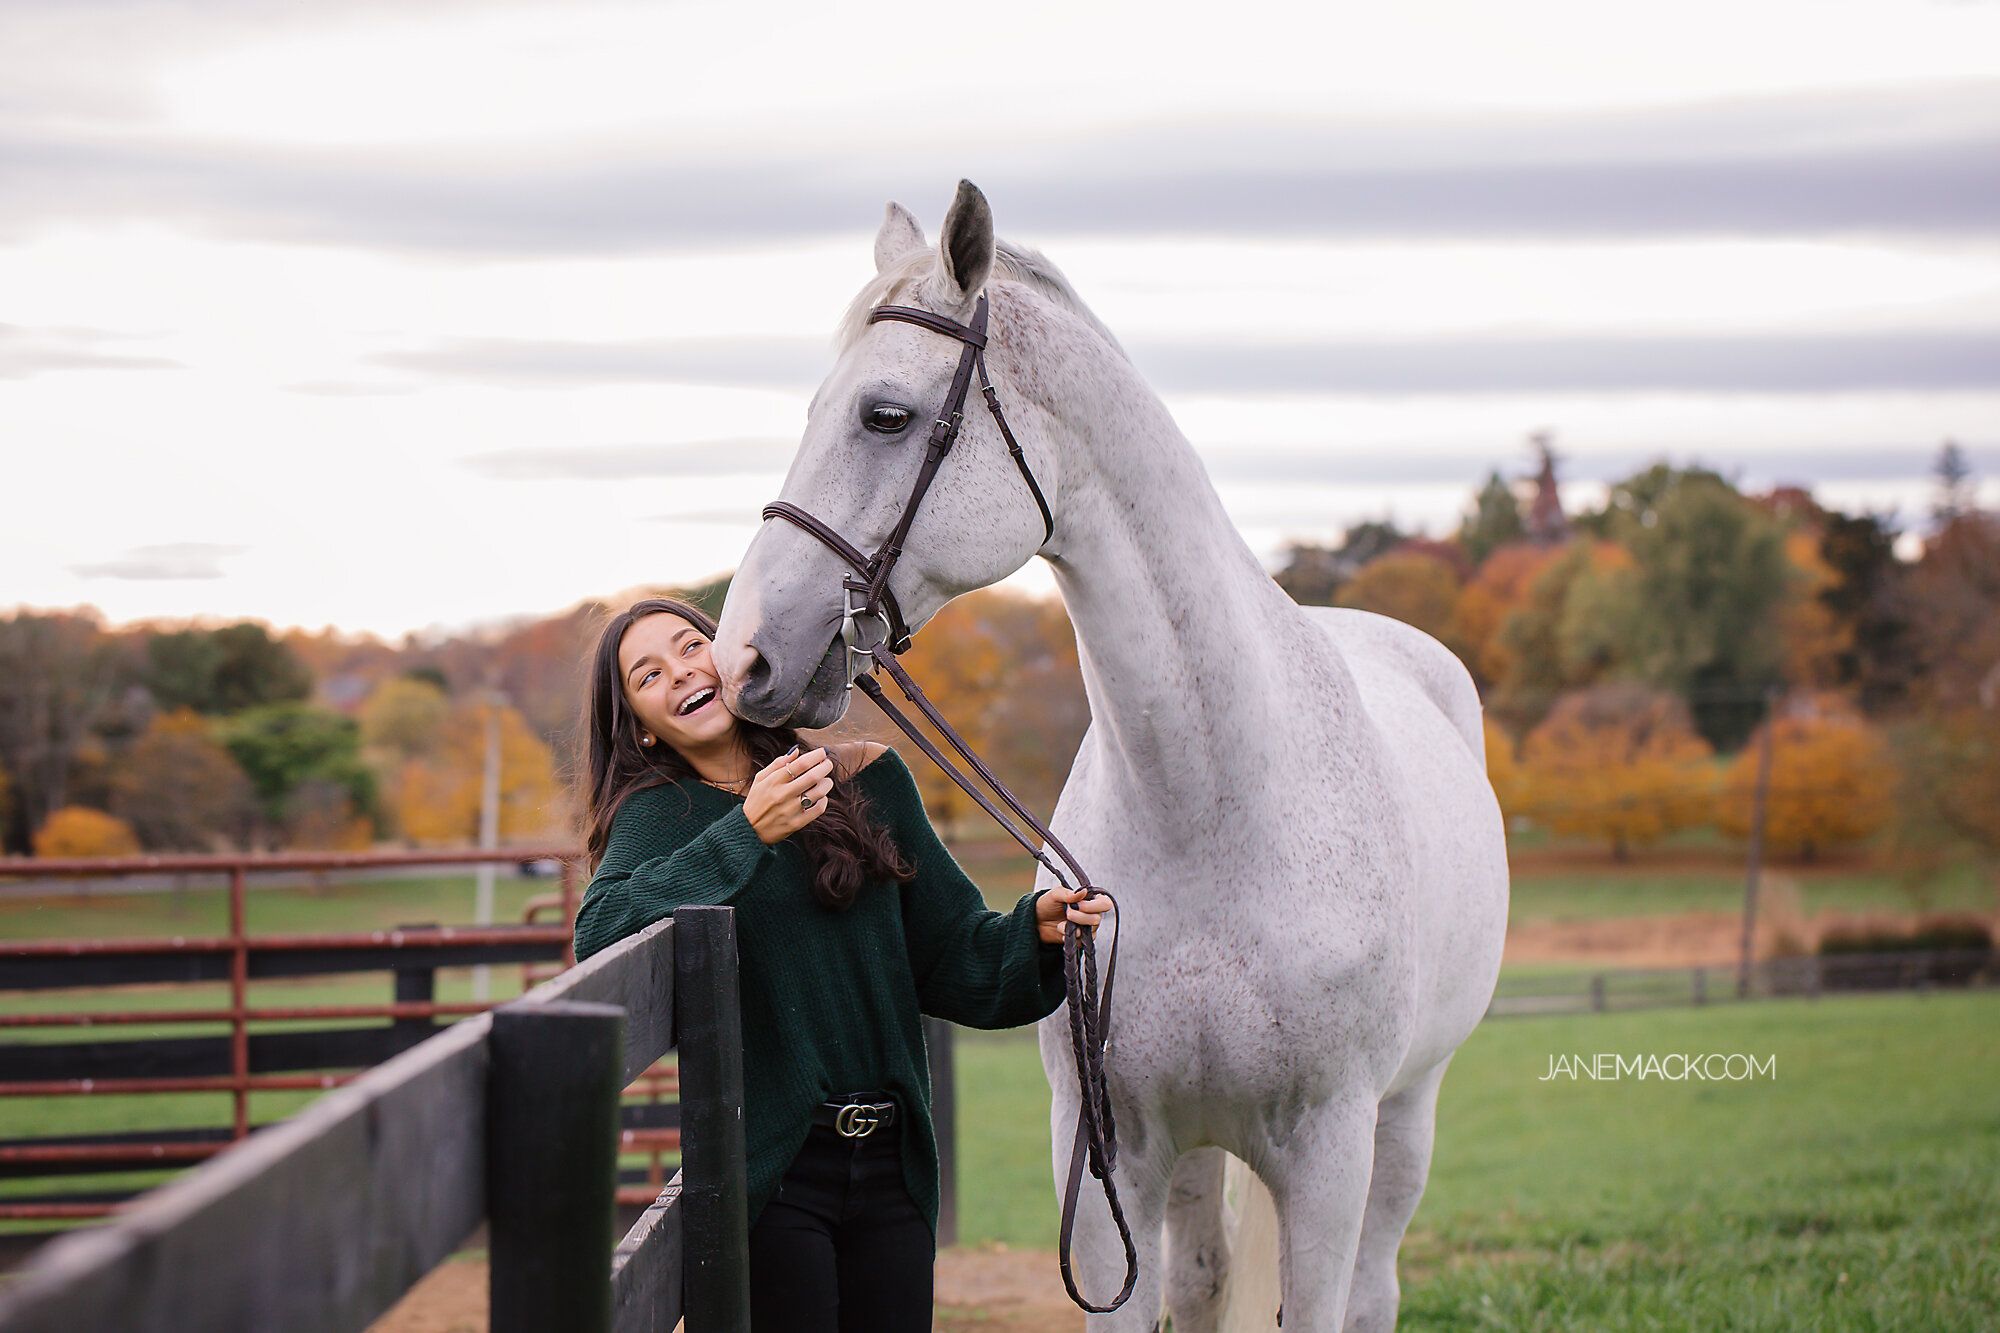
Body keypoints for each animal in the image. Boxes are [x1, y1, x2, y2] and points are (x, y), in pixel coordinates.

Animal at [712, 179, 1504, 1328]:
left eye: (884, 414)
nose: (745, 654)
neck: (1214, 806)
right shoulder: (1105, 1158)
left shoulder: (1326, 1160)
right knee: (1204, 1278)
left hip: (1402, 1123)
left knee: (1373, 1288)